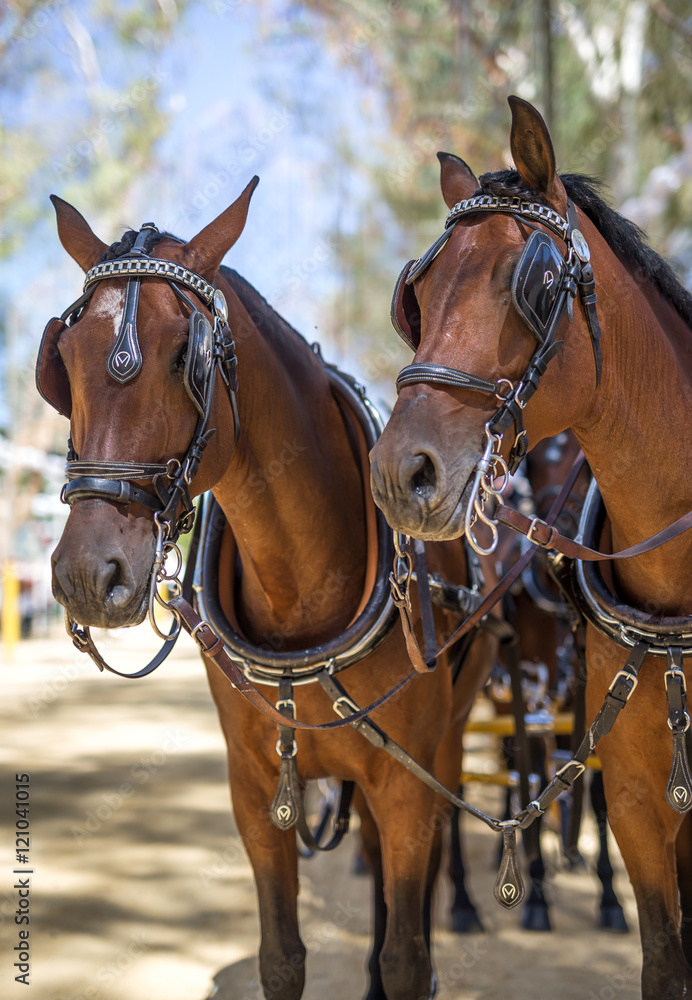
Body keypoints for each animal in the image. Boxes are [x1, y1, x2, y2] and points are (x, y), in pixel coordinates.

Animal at [38, 181, 498, 1000]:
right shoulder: (254, 789)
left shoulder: (406, 782)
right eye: (63, 358)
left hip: (444, 738)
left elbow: (409, 957)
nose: (90, 576)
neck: (302, 592)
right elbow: (281, 957)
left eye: (186, 355)